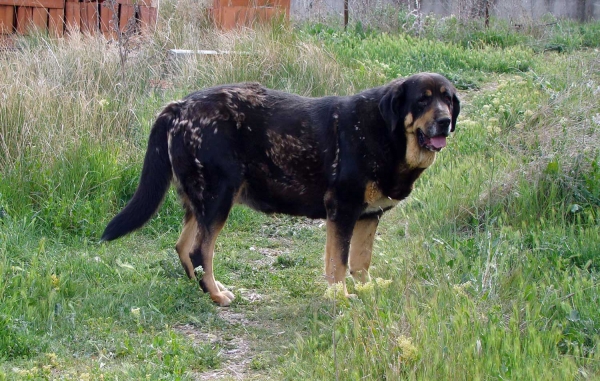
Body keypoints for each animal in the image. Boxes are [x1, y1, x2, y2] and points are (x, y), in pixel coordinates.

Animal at [102, 72, 460, 306]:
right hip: (218, 198)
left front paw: (366, 291)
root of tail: (179, 105)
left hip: (200, 202)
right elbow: (339, 263)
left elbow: (360, 261)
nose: (445, 121)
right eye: (422, 100)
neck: (387, 132)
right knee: (199, 250)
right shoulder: (342, 211)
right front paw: (340, 298)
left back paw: (202, 289)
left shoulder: (368, 216)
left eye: (447, 99)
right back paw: (216, 295)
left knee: (183, 247)